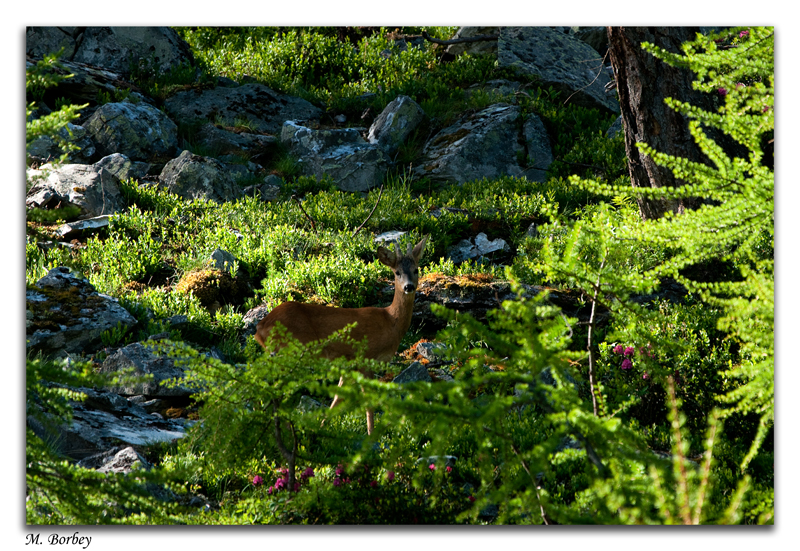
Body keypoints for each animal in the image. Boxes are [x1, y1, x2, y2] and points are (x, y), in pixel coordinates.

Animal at [256, 236, 432, 436]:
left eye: (416, 269)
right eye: (397, 272)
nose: (409, 287)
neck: (390, 321)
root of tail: (260, 328)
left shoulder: (349, 365)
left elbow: (337, 399)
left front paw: (322, 427)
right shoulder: (365, 358)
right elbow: (368, 401)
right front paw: (372, 435)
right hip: (291, 352)